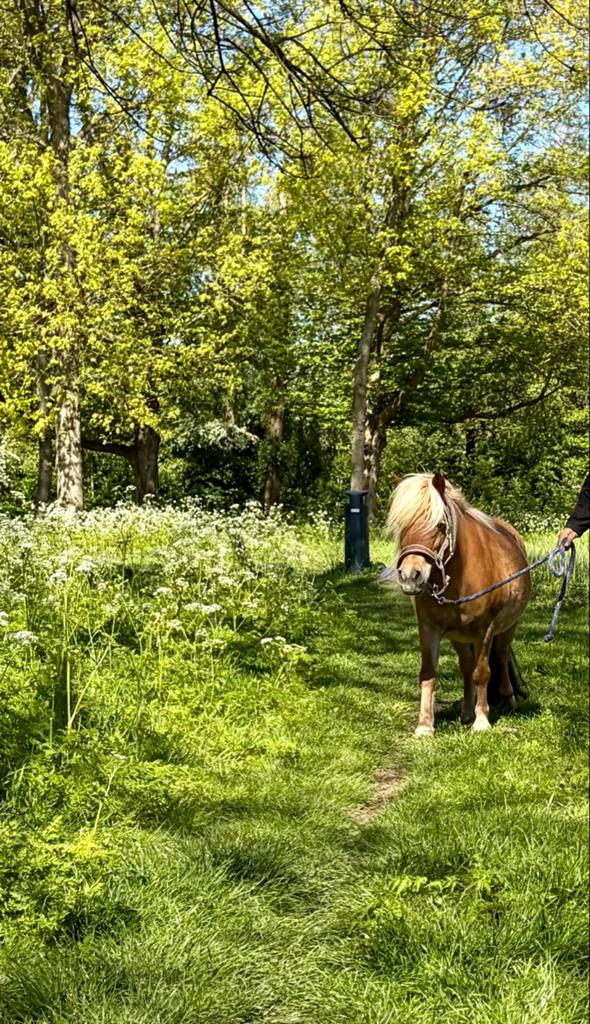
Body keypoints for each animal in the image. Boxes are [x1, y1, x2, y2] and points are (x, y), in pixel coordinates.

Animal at [381, 472, 530, 736]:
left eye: (440, 525)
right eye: (403, 526)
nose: (410, 576)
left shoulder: (485, 630)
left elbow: (482, 673)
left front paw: (481, 722)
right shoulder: (429, 629)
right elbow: (428, 674)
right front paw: (425, 726)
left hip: (507, 628)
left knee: (501, 657)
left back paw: (507, 700)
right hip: (459, 637)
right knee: (466, 666)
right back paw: (467, 711)